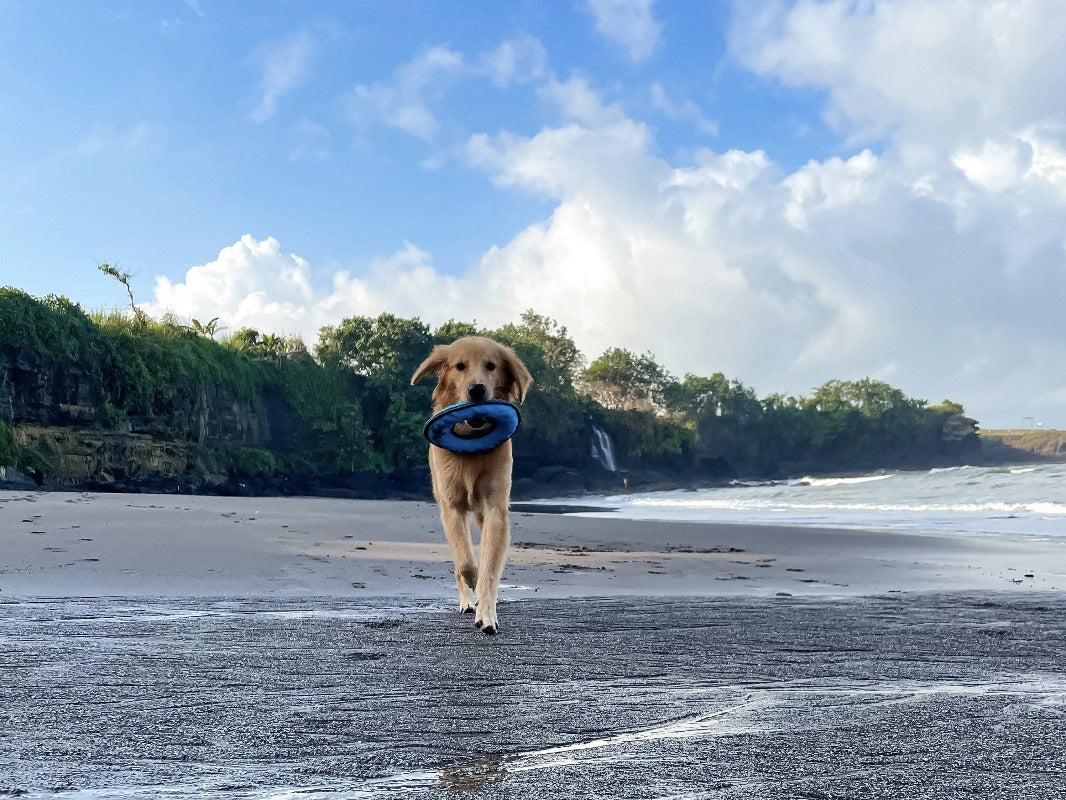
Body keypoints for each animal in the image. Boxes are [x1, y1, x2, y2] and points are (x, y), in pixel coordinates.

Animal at [413, 334, 533, 635]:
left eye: (491, 366)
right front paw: (472, 587)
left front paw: (487, 614)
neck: (471, 452)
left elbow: (489, 567)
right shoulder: (451, 507)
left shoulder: (494, 510)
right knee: (460, 562)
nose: (477, 390)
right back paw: (467, 600)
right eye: (460, 366)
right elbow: (466, 562)